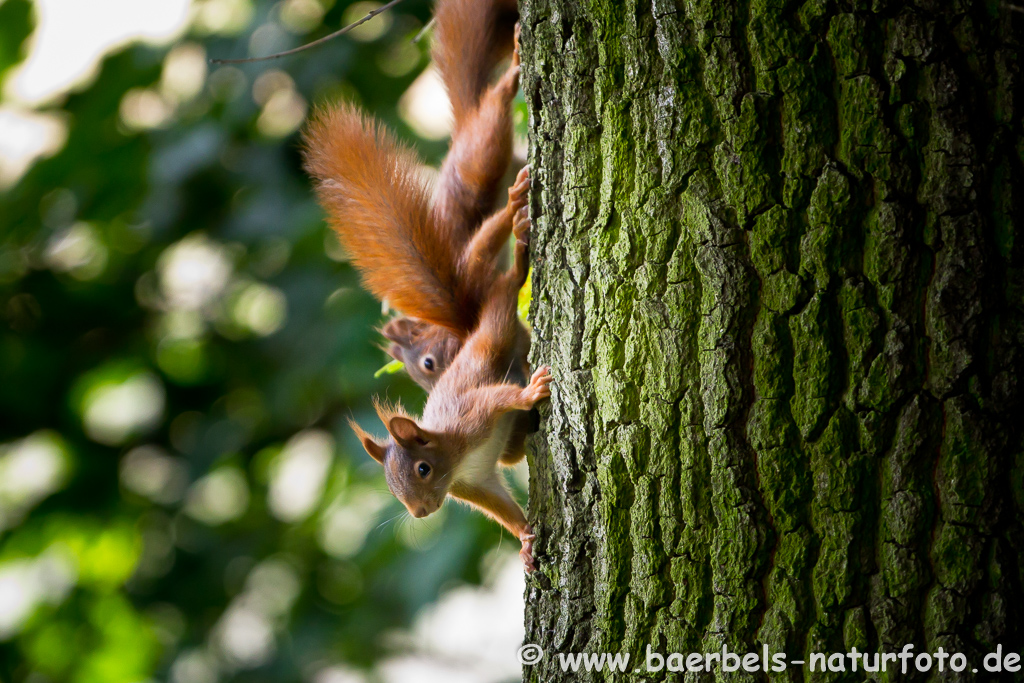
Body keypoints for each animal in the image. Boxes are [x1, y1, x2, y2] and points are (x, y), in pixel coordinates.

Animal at [301, 0, 548, 573]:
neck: (455, 456)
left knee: (504, 283)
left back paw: (519, 235)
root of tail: (468, 323)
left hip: (494, 305)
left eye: (420, 471)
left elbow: (501, 397)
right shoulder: (475, 483)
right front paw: (526, 539)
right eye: (394, 490)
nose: (420, 513)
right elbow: (500, 507)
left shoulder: (474, 418)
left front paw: (532, 390)